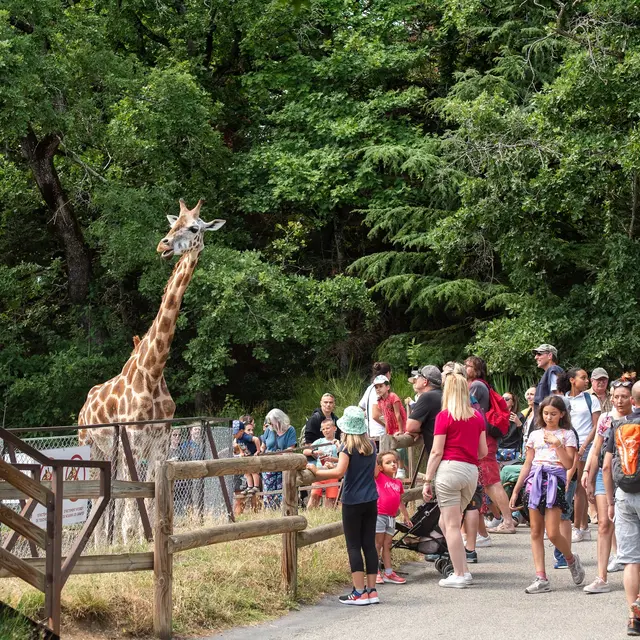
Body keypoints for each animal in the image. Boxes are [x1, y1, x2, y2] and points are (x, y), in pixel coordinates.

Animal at [78, 199, 225, 544]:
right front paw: (129, 542)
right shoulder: (132, 440)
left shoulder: (160, 441)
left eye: (194, 227)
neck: (153, 371)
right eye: (173, 224)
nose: (164, 245)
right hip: (91, 445)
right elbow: (130, 506)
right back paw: (100, 544)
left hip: (111, 452)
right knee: (97, 497)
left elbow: (149, 496)